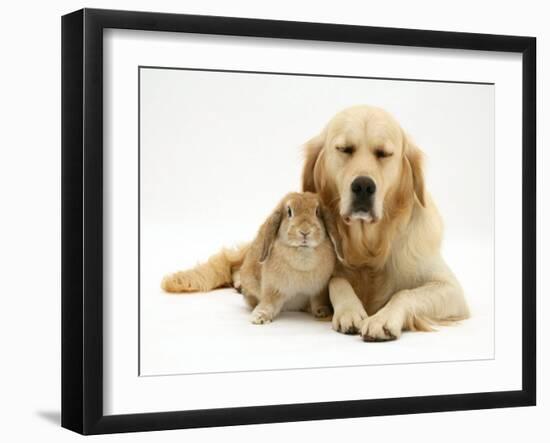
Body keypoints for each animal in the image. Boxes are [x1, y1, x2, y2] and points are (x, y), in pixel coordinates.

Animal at [237, 193, 344, 324]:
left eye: (317, 212)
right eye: (289, 212)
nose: (305, 231)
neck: (303, 253)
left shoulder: (319, 290)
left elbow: (318, 302)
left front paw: (322, 312)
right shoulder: (272, 288)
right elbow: (268, 303)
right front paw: (259, 317)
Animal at [302, 106, 470, 342]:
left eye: (384, 153)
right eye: (344, 149)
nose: (363, 186)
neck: (368, 247)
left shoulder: (451, 289)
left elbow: (404, 293)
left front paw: (383, 319)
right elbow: (337, 281)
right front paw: (350, 311)